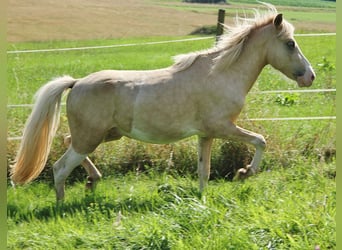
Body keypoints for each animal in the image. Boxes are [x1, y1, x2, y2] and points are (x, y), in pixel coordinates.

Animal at [10, 6, 316, 201]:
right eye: (290, 43)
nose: (310, 77)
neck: (221, 74)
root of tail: (76, 83)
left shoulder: (206, 135)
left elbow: (203, 171)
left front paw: (202, 199)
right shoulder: (222, 127)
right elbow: (260, 140)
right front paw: (244, 173)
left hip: (104, 135)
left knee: (66, 141)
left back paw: (92, 180)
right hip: (91, 138)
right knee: (60, 167)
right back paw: (62, 205)